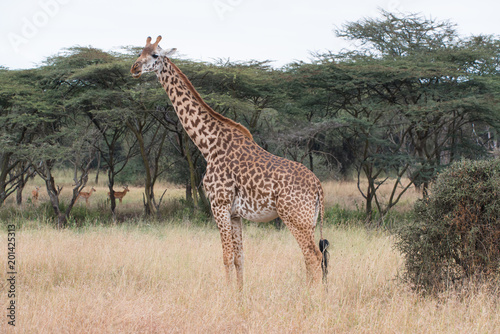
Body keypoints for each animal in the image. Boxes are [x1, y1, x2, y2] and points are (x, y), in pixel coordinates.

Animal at [131, 36, 330, 288]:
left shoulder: (219, 204)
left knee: (313, 256)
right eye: (140, 51)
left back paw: (310, 296)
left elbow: (226, 256)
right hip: (309, 220)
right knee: (313, 257)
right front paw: (239, 294)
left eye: (155, 55)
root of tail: (318, 187)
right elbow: (239, 257)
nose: (134, 68)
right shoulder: (235, 213)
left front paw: (225, 294)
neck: (208, 144)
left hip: (295, 218)